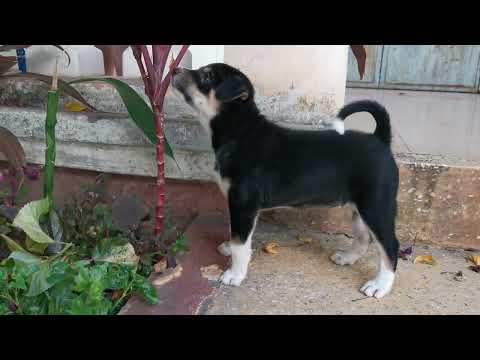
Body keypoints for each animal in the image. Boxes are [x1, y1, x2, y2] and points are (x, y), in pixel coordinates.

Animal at [171, 62, 400, 298]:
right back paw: (347, 257)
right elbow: (238, 237)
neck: (239, 131)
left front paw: (235, 274)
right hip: (359, 207)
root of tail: (380, 139)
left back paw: (380, 285)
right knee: (364, 238)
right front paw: (228, 247)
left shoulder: (243, 203)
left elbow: (240, 242)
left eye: (207, 76)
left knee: (390, 246)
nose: (174, 70)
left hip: (376, 205)